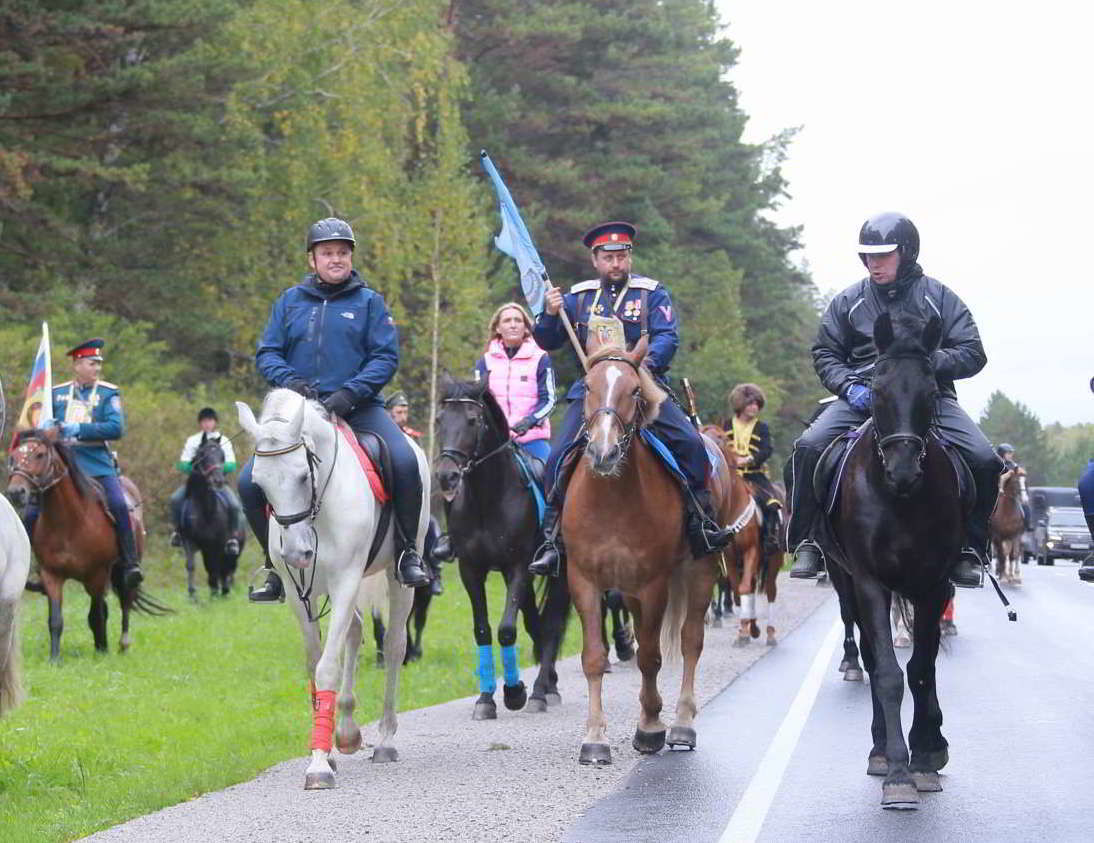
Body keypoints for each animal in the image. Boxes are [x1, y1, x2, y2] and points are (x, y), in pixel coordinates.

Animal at [237, 389, 424, 791]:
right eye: (259, 484)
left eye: (302, 475)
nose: (297, 552)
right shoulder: (299, 595)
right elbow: (314, 663)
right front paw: (324, 750)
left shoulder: (346, 581)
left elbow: (326, 668)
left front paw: (320, 766)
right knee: (354, 633)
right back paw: (349, 731)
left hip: (398, 580)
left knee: (394, 644)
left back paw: (385, 741)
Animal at [435, 376, 573, 717]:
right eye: (440, 420)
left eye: (473, 420)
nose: (446, 476)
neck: (487, 496)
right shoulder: (471, 570)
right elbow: (483, 629)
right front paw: (485, 699)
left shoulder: (518, 566)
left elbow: (507, 629)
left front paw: (514, 692)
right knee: (536, 623)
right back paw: (549, 684)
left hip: (559, 572)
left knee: (550, 625)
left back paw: (540, 692)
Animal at [564, 334, 726, 765]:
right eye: (587, 386)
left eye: (635, 390)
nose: (603, 452)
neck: (612, 498)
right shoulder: (583, 580)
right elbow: (594, 657)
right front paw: (594, 738)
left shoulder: (655, 583)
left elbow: (651, 656)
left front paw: (651, 727)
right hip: (631, 591)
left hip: (698, 572)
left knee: (689, 641)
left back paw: (682, 723)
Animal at [700, 426, 778, 651]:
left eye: (720, 438)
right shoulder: (730, 558)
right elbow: (739, 588)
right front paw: (745, 630)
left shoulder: (751, 552)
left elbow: (743, 588)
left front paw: (746, 630)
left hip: (773, 561)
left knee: (770, 591)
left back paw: (770, 633)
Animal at [818, 312, 980, 813]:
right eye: (875, 387)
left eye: (930, 391)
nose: (903, 469)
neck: (901, 499)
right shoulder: (870, 582)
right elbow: (889, 674)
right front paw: (898, 772)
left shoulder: (934, 583)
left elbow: (922, 668)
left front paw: (926, 755)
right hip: (847, 582)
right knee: (872, 660)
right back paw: (877, 749)